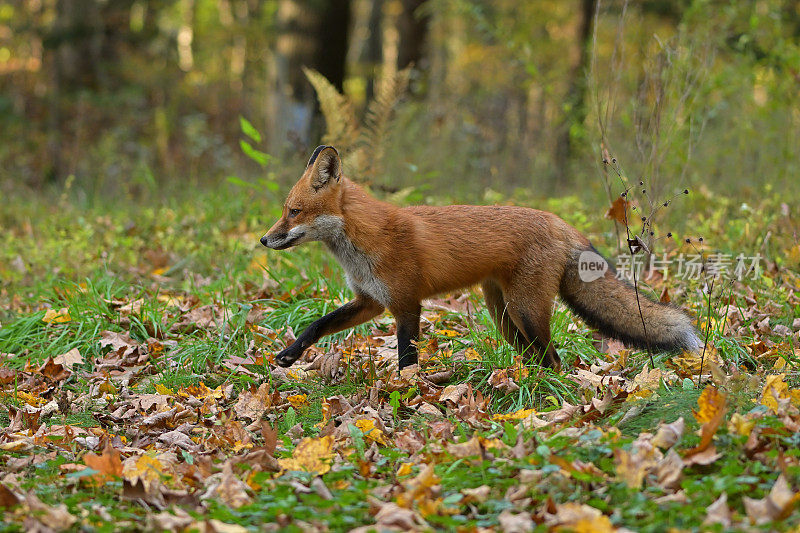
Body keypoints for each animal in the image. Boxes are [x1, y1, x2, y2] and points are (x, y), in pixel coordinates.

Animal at [262, 145, 700, 370]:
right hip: (504, 316)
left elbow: (407, 358)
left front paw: (406, 394)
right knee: (537, 357)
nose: (266, 239)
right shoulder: (371, 301)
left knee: (554, 358)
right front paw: (290, 353)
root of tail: (561, 223)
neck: (365, 242)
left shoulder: (406, 304)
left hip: (525, 311)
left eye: (294, 212)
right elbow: (317, 324)